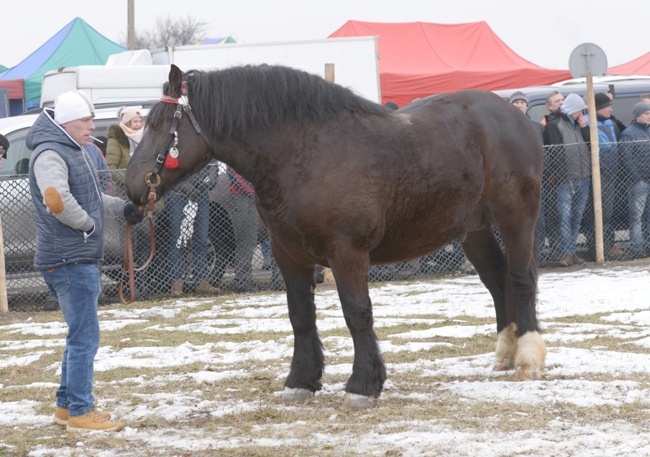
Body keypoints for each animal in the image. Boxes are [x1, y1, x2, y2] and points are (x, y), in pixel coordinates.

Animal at [124, 62, 544, 408]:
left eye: (160, 124)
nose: (132, 188)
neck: (303, 153)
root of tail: (513, 114)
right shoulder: (287, 253)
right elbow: (300, 315)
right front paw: (300, 381)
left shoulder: (347, 252)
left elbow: (357, 313)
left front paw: (363, 385)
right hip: (474, 229)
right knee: (497, 279)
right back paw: (506, 355)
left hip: (516, 216)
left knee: (521, 277)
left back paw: (528, 356)